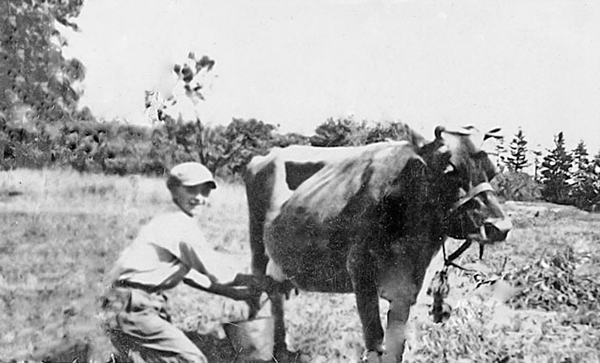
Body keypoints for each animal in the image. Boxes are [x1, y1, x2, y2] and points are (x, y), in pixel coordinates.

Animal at [243, 126, 510, 363]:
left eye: (493, 172)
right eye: (450, 171)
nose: (500, 227)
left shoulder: (407, 291)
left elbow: (396, 347)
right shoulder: (360, 272)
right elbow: (375, 341)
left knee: (277, 294)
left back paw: (283, 349)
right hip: (257, 247)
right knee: (260, 293)